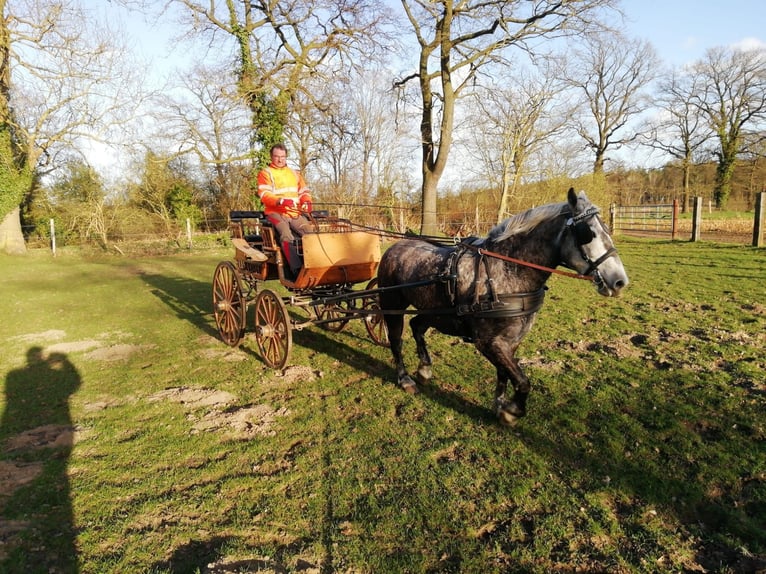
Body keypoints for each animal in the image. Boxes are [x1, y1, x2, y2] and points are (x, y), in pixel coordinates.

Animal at [378, 187, 632, 426]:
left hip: (434, 311)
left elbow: (504, 373)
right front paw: (513, 411)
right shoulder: (487, 342)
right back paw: (405, 378)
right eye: (588, 233)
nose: (620, 281)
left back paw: (424, 368)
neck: (506, 272)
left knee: (417, 326)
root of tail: (396, 246)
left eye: (607, 229)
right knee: (396, 340)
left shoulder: (510, 341)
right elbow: (522, 380)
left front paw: (500, 404)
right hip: (393, 306)